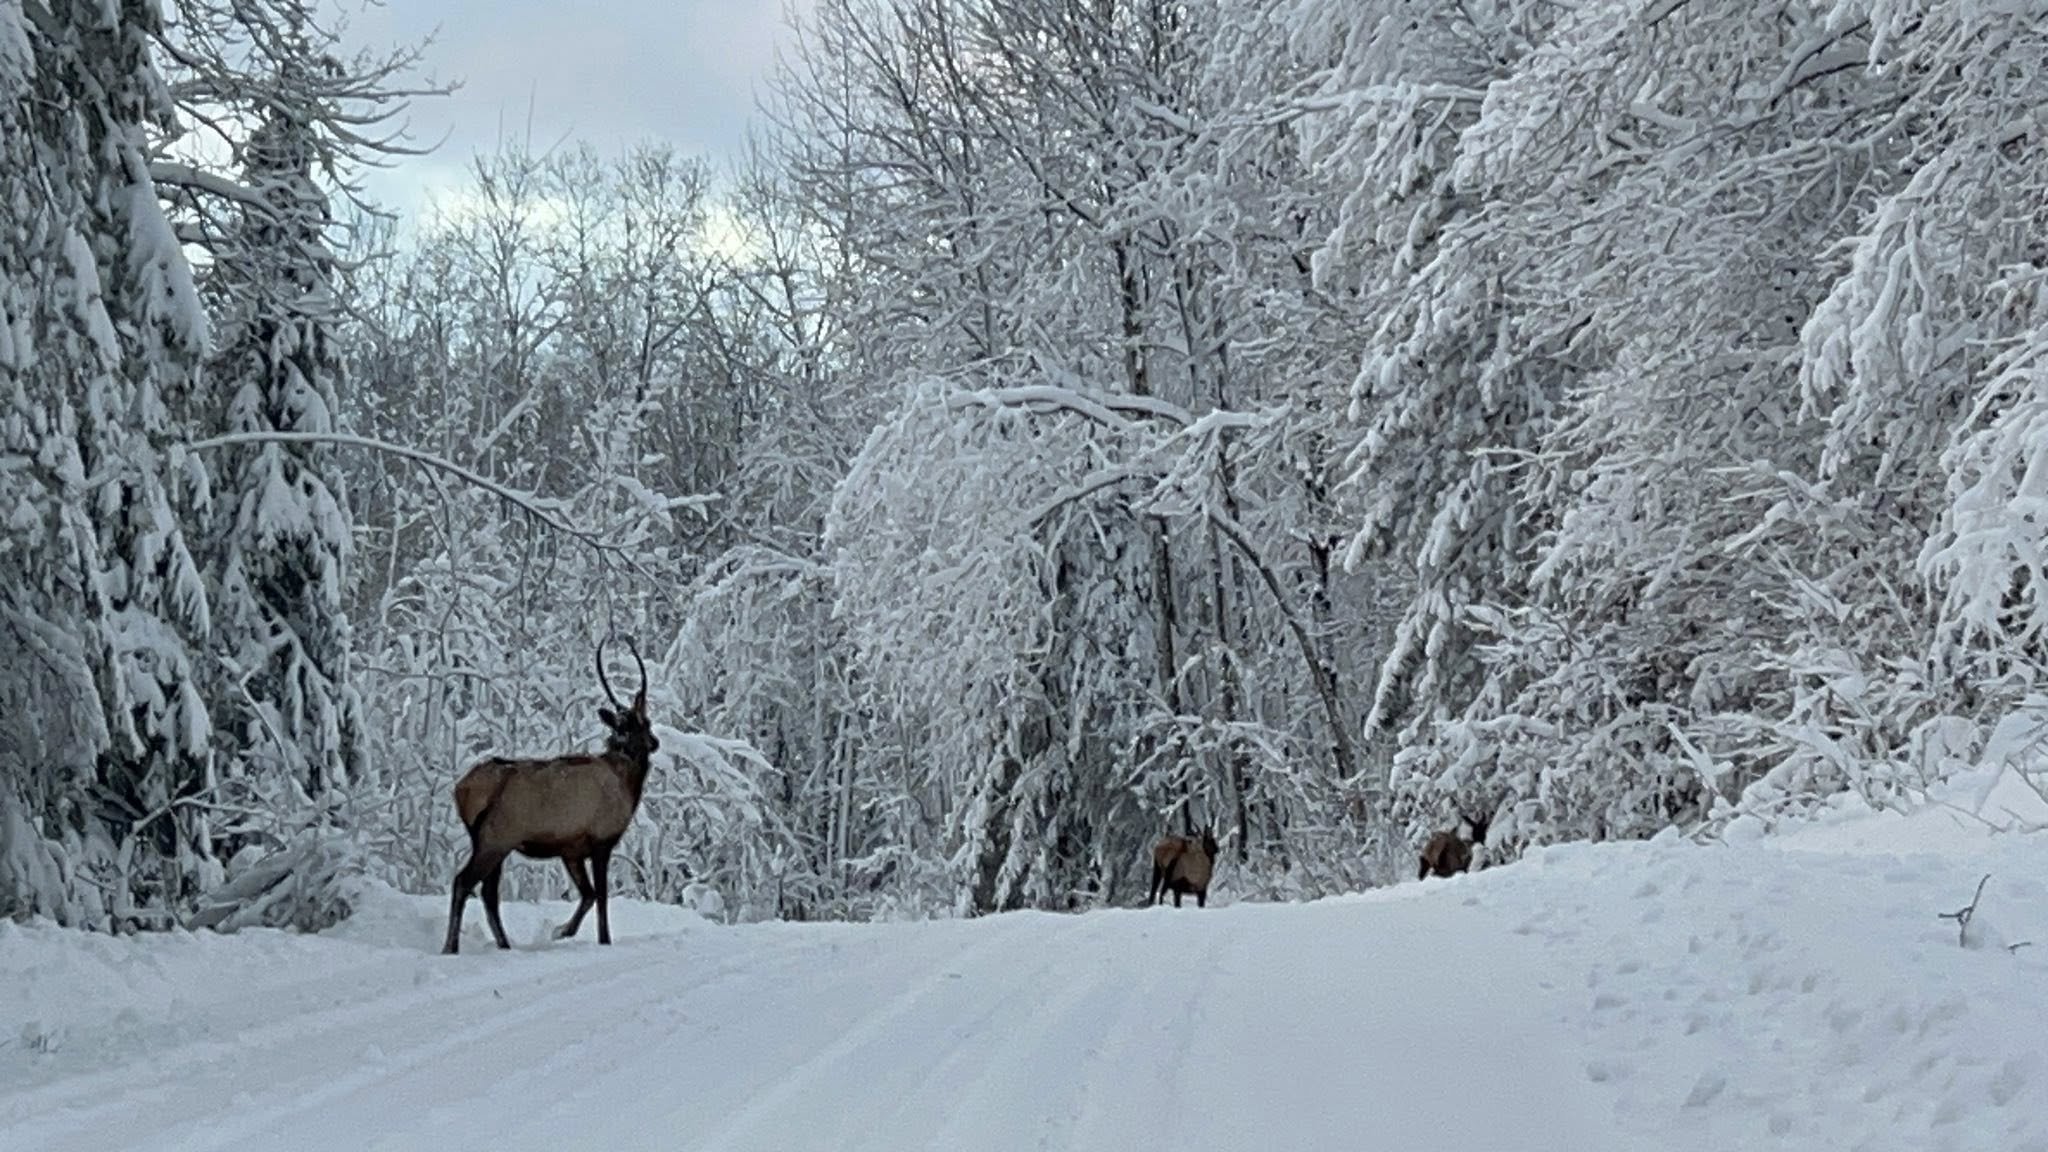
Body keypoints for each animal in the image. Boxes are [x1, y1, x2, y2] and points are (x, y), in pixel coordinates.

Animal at [441, 638, 661, 956]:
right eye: (641, 724)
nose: (653, 743)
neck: (627, 784)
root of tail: (463, 790)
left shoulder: (571, 850)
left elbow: (588, 894)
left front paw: (561, 931)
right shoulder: (601, 841)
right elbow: (602, 897)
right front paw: (602, 940)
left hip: (489, 842)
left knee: (487, 892)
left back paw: (504, 944)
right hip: (496, 839)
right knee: (464, 882)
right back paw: (452, 946)